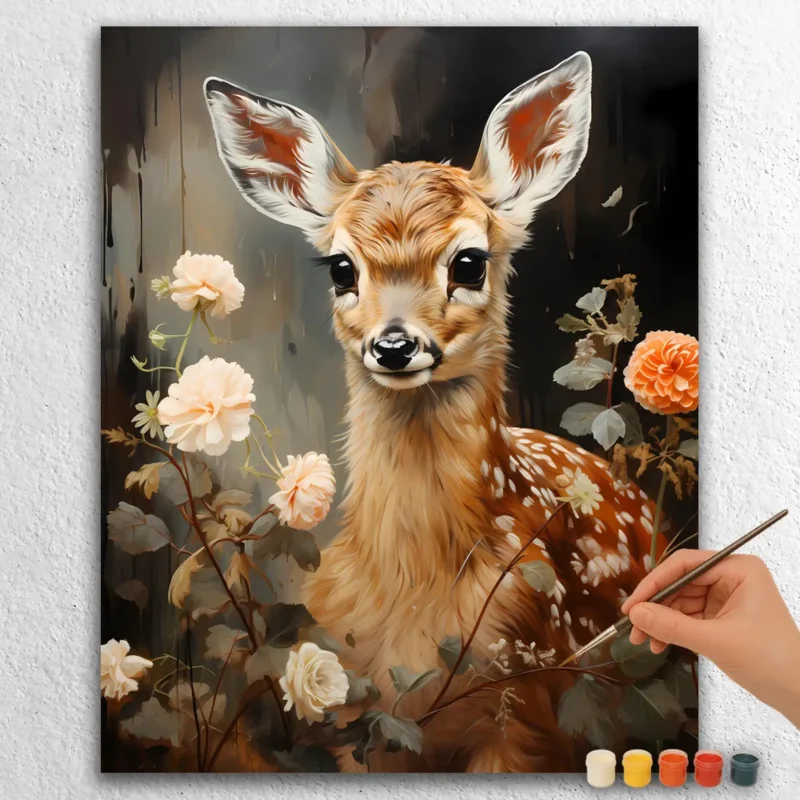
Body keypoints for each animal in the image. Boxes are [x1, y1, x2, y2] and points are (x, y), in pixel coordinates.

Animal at [204, 51, 666, 772]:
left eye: (470, 262)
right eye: (341, 268)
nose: (394, 345)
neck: (414, 585)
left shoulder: (523, 703)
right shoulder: (349, 709)